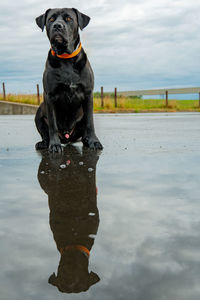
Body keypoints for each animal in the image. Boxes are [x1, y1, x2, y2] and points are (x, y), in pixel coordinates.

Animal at [34, 8, 102, 154]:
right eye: (51, 19)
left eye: (69, 19)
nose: (57, 26)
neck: (66, 58)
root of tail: (67, 138)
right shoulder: (50, 96)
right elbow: (52, 124)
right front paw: (54, 145)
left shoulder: (88, 94)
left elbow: (90, 122)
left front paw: (94, 141)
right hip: (39, 112)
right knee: (45, 133)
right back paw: (44, 143)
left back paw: (87, 141)